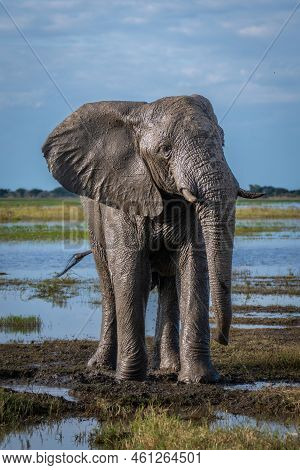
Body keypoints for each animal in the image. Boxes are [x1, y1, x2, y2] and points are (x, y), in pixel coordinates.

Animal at [42, 94, 262, 382]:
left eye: (222, 142)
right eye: (165, 150)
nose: (222, 339)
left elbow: (194, 265)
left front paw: (200, 379)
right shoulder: (120, 195)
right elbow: (131, 270)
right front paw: (129, 378)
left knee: (169, 285)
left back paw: (167, 367)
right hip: (93, 223)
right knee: (109, 285)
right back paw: (101, 366)